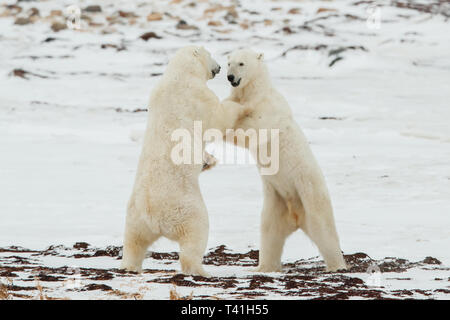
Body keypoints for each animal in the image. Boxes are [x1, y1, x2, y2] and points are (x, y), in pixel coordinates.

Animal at [119, 45, 246, 276]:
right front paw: (239, 105)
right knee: (196, 234)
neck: (178, 74)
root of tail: (154, 217)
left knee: (134, 242)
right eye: (210, 55)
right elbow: (218, 117)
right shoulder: (197, 95)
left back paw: (129, 265)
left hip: (135, 216)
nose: (219, 67)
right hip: (186, 209)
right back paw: (201, 270)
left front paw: (209, 160)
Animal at [225, 48, 348, 272]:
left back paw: (337, 266)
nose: (230, 77)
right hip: (276, 201)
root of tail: (296, 217)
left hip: (309, 192)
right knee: (269, 233)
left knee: (324, 230)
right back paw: (264, 267)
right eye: (228, 63)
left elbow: (254, 128)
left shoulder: (268, 109)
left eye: (241, 64)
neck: (255, 92)